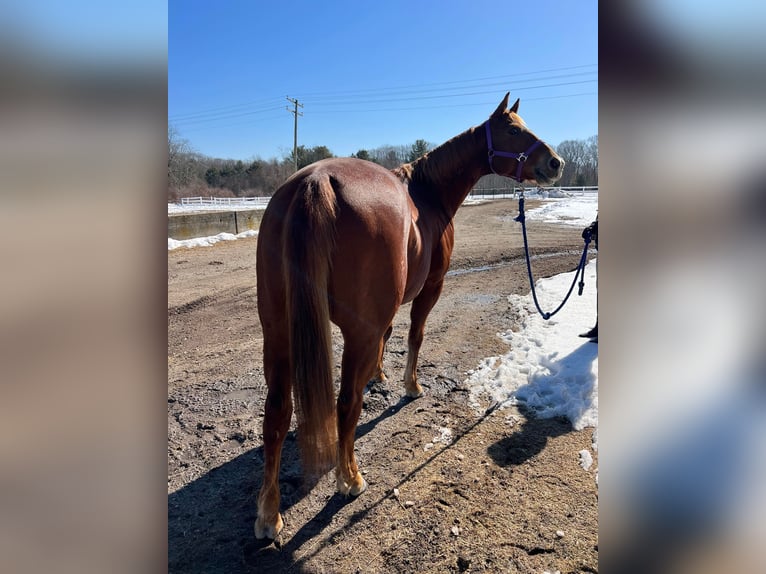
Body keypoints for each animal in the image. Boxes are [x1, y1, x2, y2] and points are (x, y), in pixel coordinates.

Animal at [256, 92, 564, 536]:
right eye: (512, 130)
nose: (555, 163)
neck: (427, 194)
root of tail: (316, 183)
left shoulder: (383, 312)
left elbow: (388, 337)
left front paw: (379, 374)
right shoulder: (430, 289)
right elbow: (415, 335)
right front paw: (410, 385)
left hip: (277, 332)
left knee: (277, 413)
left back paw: (268, 514)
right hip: (352, 332)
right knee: (346, 404)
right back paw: (350, 479)